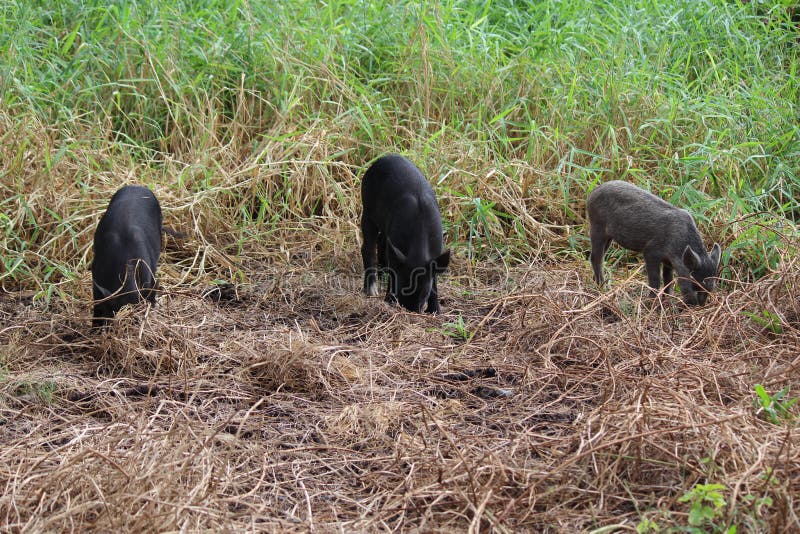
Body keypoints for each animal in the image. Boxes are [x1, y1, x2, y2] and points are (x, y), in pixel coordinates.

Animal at [360, 154, 450, 313]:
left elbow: (434, 279)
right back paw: (371, 289)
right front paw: (388, 300)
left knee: (381, 241)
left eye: (424, 293)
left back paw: (381, 273)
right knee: (367, 248)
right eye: (402, 288)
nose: (411, 309)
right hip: (368, 210)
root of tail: (381, 159)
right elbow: (393, 272)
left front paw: (435, 311)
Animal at [586, 180, 721, 305]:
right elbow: (655, 279)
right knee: (595, 257)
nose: (698, 305)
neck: (679, 243)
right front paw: (651, 301)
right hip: (597, 226)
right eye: (693, 280)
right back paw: (602, 288)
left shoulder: (668, 261)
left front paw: (668, 300)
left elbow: (668, 279)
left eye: (712, 285)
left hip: (608, 236)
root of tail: (592, 193)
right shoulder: (651, 251)